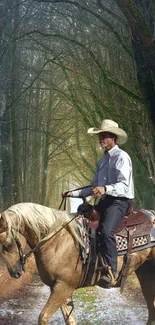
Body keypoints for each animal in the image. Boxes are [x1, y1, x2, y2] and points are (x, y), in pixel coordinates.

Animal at [0, 201, 155, 322]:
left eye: (8, 244)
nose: (15, 272)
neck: (57, 241)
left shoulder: (63, 287)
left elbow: (43, 317)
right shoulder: (60, 289)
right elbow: (70, 319)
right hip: (146, 273)